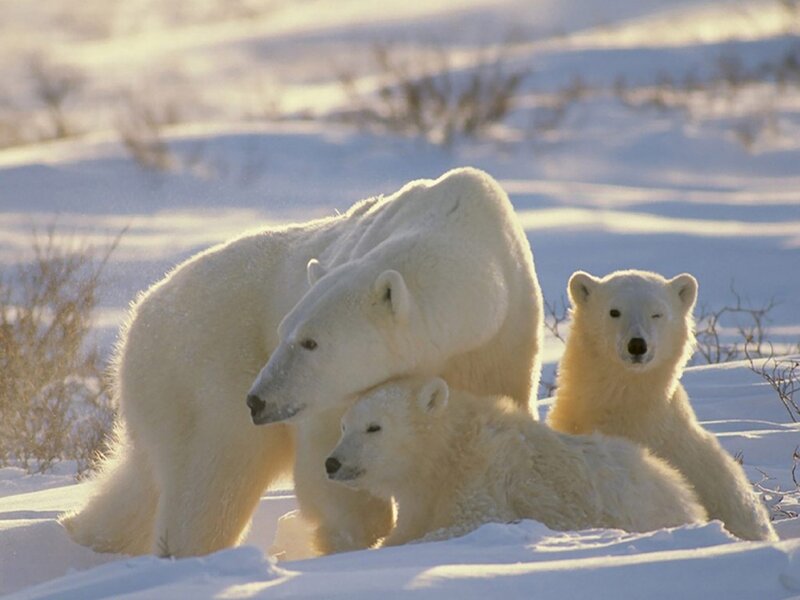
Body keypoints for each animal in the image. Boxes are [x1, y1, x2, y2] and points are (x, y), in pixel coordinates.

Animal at [60, 167, 544, 558]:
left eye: (310, 342)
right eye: (284, 332)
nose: (257, 400)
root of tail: (140, 312)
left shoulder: (502, 343)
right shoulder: (330, 396)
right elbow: (327, 454)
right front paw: (350, 537)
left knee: (141, 481)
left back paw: (84, 535)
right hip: (203, 368)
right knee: (215, 476)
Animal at [325, 376, 707, 546]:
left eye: (374, 427)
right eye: (344, 425)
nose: (332, 462)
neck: (449, 450)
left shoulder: (484, 475)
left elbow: (471, 521)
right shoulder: (421, 495)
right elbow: (405, 528)